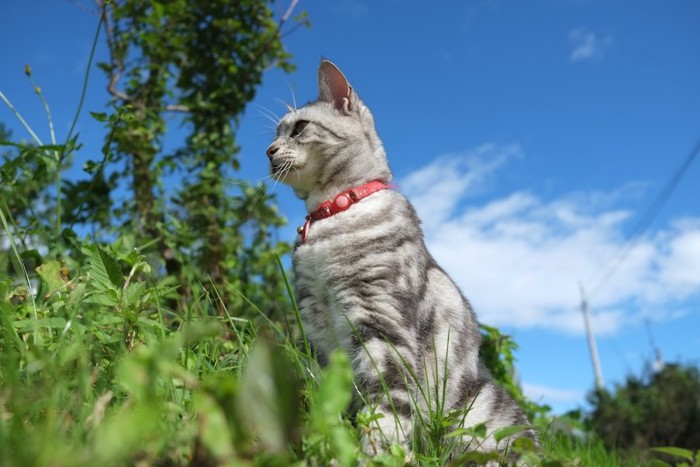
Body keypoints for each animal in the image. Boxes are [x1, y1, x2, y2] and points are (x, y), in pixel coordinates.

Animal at [266, 60, 536, 458]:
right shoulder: (317, 332)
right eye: (275, 133)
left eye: (298, 128)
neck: (331, 212)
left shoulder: (381, 320)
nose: (268, 151)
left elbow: (385, 404)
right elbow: (329, 400)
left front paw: (376, 454)